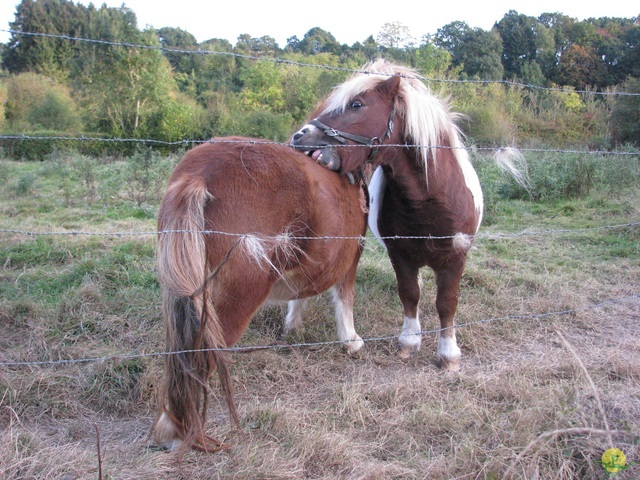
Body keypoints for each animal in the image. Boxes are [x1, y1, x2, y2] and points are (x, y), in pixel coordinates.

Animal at [151, 137, 368, 452]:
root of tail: (198, 174)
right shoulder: (350, 258)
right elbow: (344, 297)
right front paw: (350, 340)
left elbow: (301, 292)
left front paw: (292, 326)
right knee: (200, 360)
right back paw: (178, 433)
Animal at [292, 60, 524, 372]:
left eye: (357, 104)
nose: (299, 137)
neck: (428, 198)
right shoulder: (400, 255)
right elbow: (410, 293)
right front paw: (409, 342)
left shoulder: (455, 257)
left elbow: (447, 302)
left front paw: (448, 354)